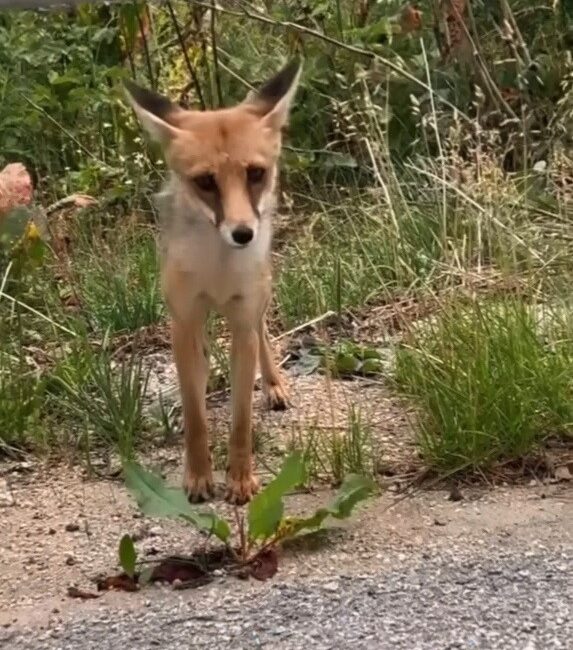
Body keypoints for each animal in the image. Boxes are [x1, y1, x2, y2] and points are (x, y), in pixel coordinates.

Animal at [123, 59, 302, 506]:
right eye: (206, 182)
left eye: (256, 174)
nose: (242, 234)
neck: (219, 272)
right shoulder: (183, 324)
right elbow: (195, 416)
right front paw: (199, 476)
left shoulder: (241, 323)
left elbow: (240, 420)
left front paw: (240, 480)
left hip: (259, 298)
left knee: (263, 331)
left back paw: (274, 385)